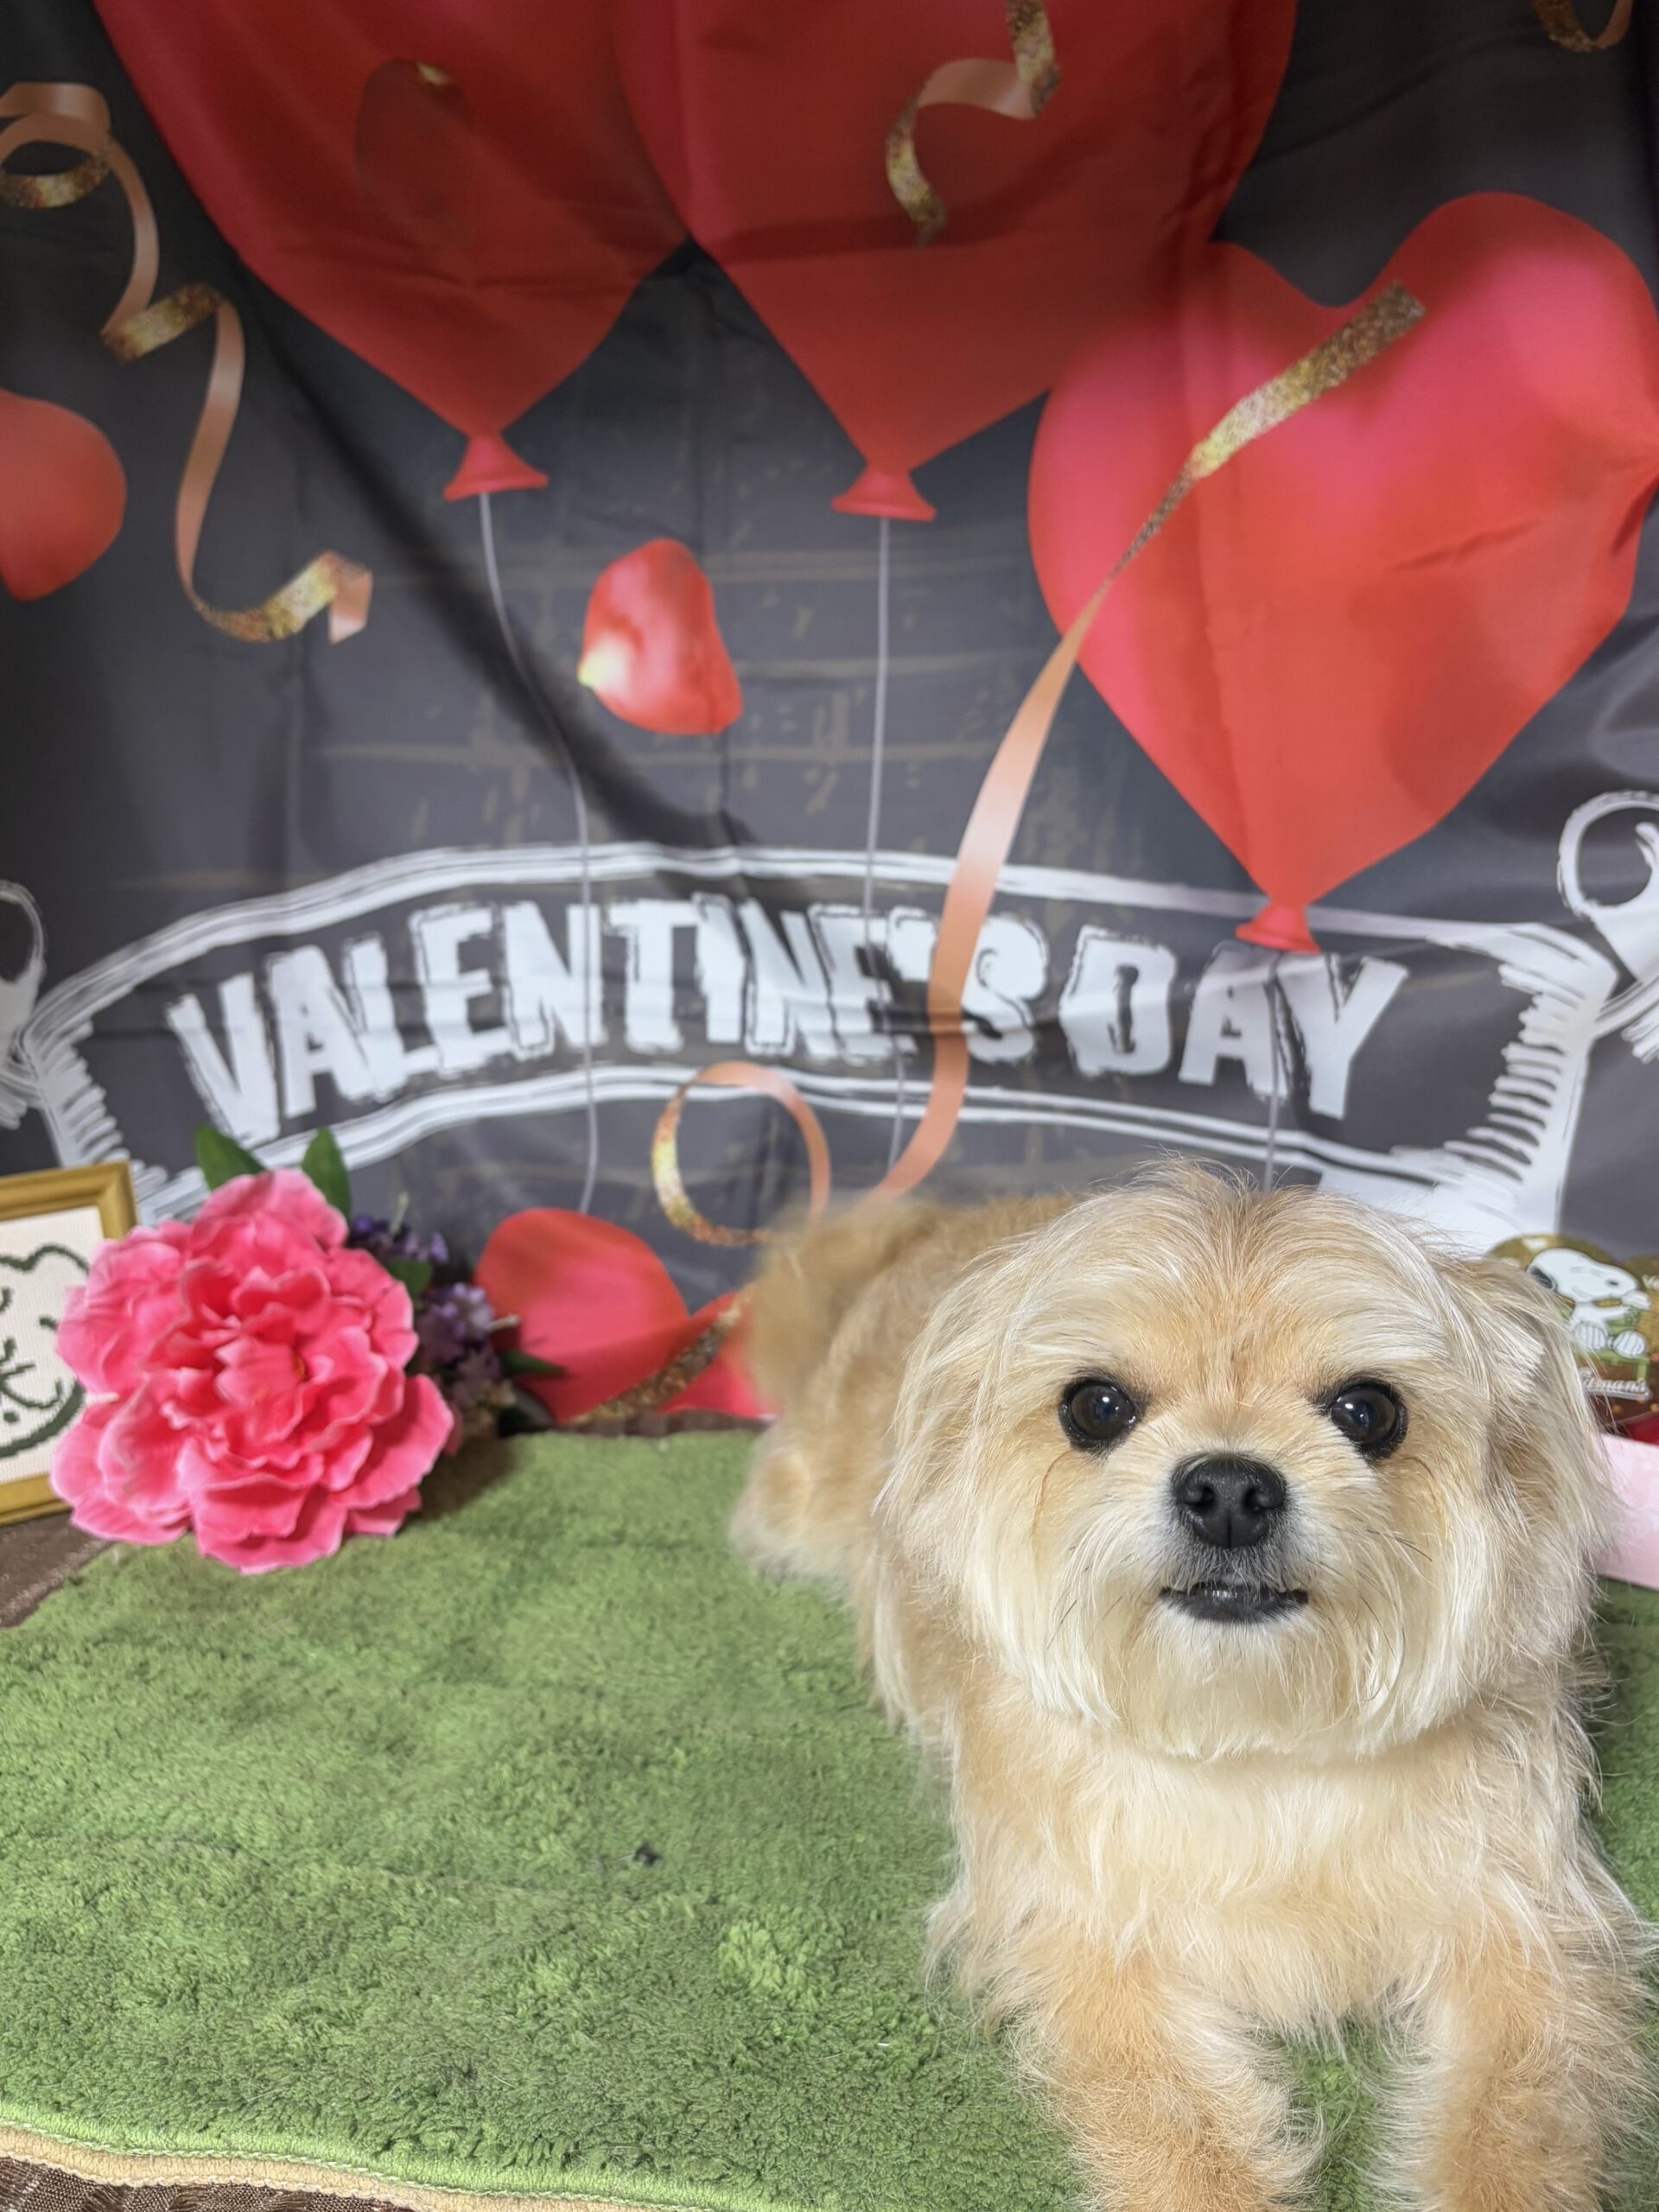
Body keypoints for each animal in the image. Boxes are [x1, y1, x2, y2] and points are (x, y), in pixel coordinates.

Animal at [733, 1168, 1650, 2211]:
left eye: (1369, 1411)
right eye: (1096, 1406)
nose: (1230, 1492)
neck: (1254, 1741)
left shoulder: (1523, 1925)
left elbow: (1516, 2120)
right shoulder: (1089, 1943)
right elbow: (1175, 2127)